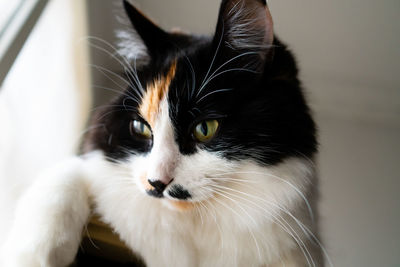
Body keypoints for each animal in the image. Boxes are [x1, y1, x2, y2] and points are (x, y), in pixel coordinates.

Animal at [0, 0, 328, 266]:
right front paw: (34, 256)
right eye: (140, 127)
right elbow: (67, 174)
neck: (194, 220)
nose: (156, 182)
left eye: (205, 129)